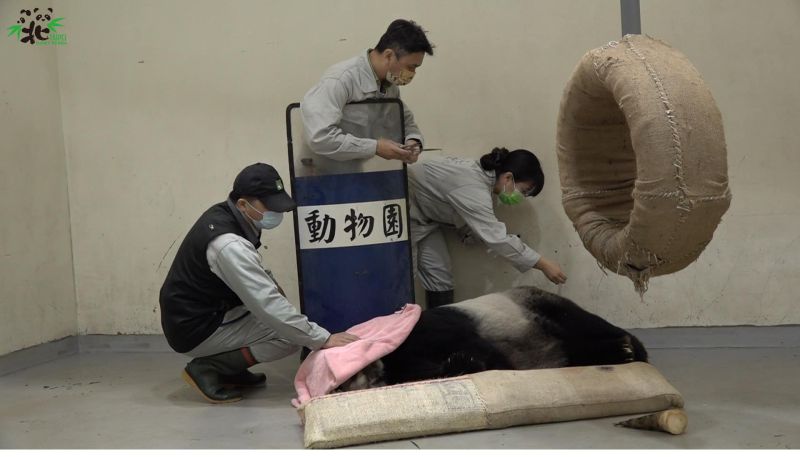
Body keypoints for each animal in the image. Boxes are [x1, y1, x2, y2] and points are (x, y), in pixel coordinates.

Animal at [334, 286, 648, 390]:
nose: (345, 385)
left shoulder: (423, 329)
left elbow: (475, 345)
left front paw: (472, 360)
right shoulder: (405, 369)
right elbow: (428, 372)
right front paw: (462, 364)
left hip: (537, 305)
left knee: (580, 325)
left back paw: (627, 349)